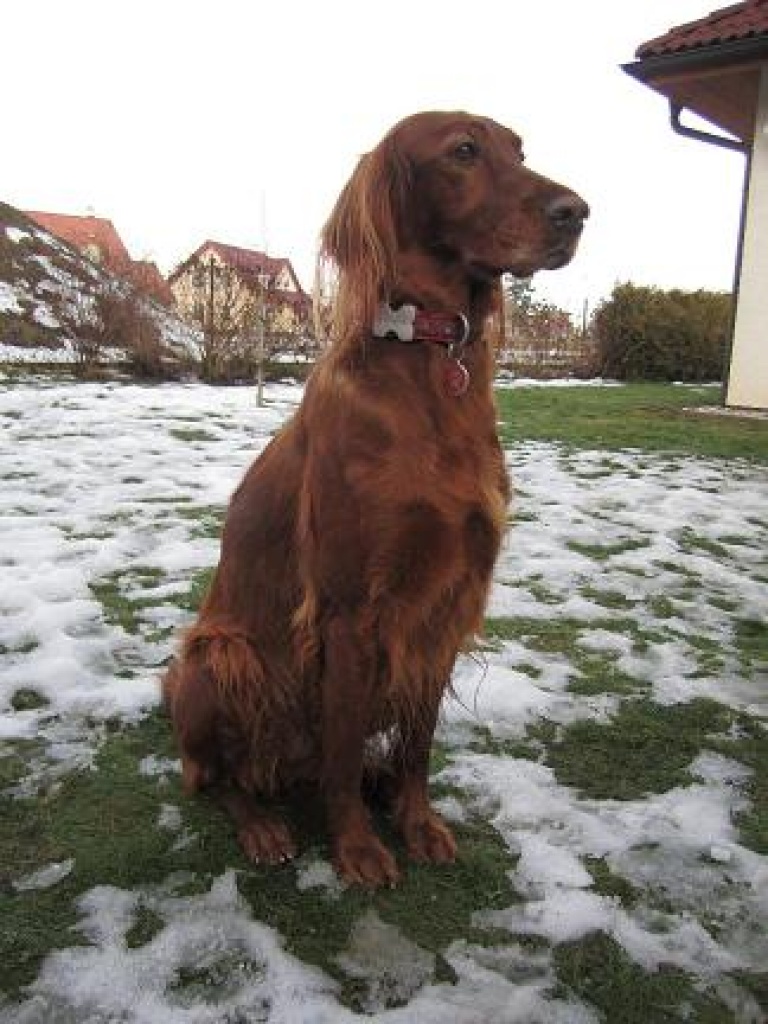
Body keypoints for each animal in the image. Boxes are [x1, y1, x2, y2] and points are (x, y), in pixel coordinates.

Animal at [163, 108, 589, 884]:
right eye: (463, 150)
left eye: (519, 151)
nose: (576, 212)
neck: (429, 358)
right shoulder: (352, 610)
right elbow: (340, 748)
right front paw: (357, 848)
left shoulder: (445, 604)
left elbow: (417, 744)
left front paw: (416, 822)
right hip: (218, 654)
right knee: (216, 776)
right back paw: (262, 824)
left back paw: (379, 787)